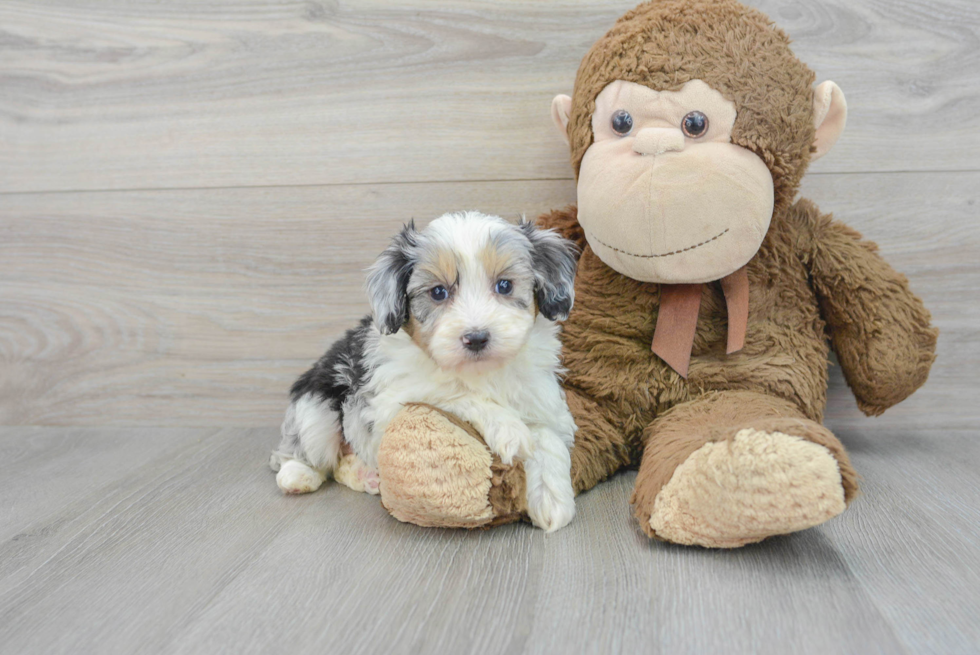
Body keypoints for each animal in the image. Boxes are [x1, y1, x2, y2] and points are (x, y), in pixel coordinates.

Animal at [268, 213, 580, 532]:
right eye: (438, 292)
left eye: (505, 285)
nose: (476, 338)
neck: (481, 372)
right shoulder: (392, 399)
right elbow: (456, 392)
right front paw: (509, 429)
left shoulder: (540, 398)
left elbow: (547, 435)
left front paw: (552, 498)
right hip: (316, 407)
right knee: (300, 452)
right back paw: (298, 475)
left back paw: (367, 476)